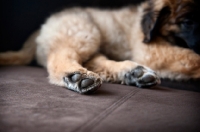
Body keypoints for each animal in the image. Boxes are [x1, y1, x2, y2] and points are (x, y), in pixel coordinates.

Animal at [0, 0, 200, 93]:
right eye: (188, 22)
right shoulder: (151, 51)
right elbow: (193, 58)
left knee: (96, 62)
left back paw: (134, 73)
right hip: (83, 32)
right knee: (60, 56)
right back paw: (75, 76)